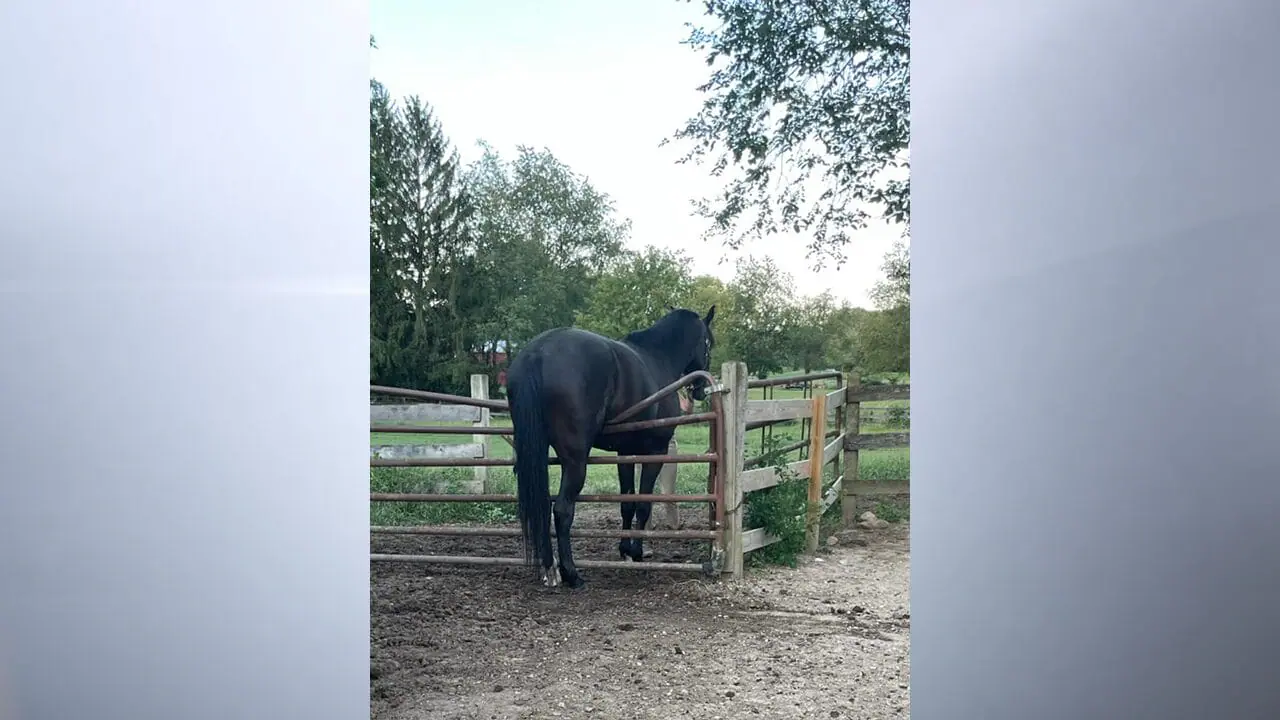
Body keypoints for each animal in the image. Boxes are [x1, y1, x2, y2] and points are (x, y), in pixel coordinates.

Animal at [504, 304, 716, 586]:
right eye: (708, 343)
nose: (700, 390)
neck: (657, 358)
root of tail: (537, 353)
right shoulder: (656, 451)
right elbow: (643, 504)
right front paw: (637, 553)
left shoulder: (625, 453)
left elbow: (627, 504)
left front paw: (625, 549)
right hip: (575, 461)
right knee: (562, 510)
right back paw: (571, 573)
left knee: (541, 508)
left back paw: (549, 569)